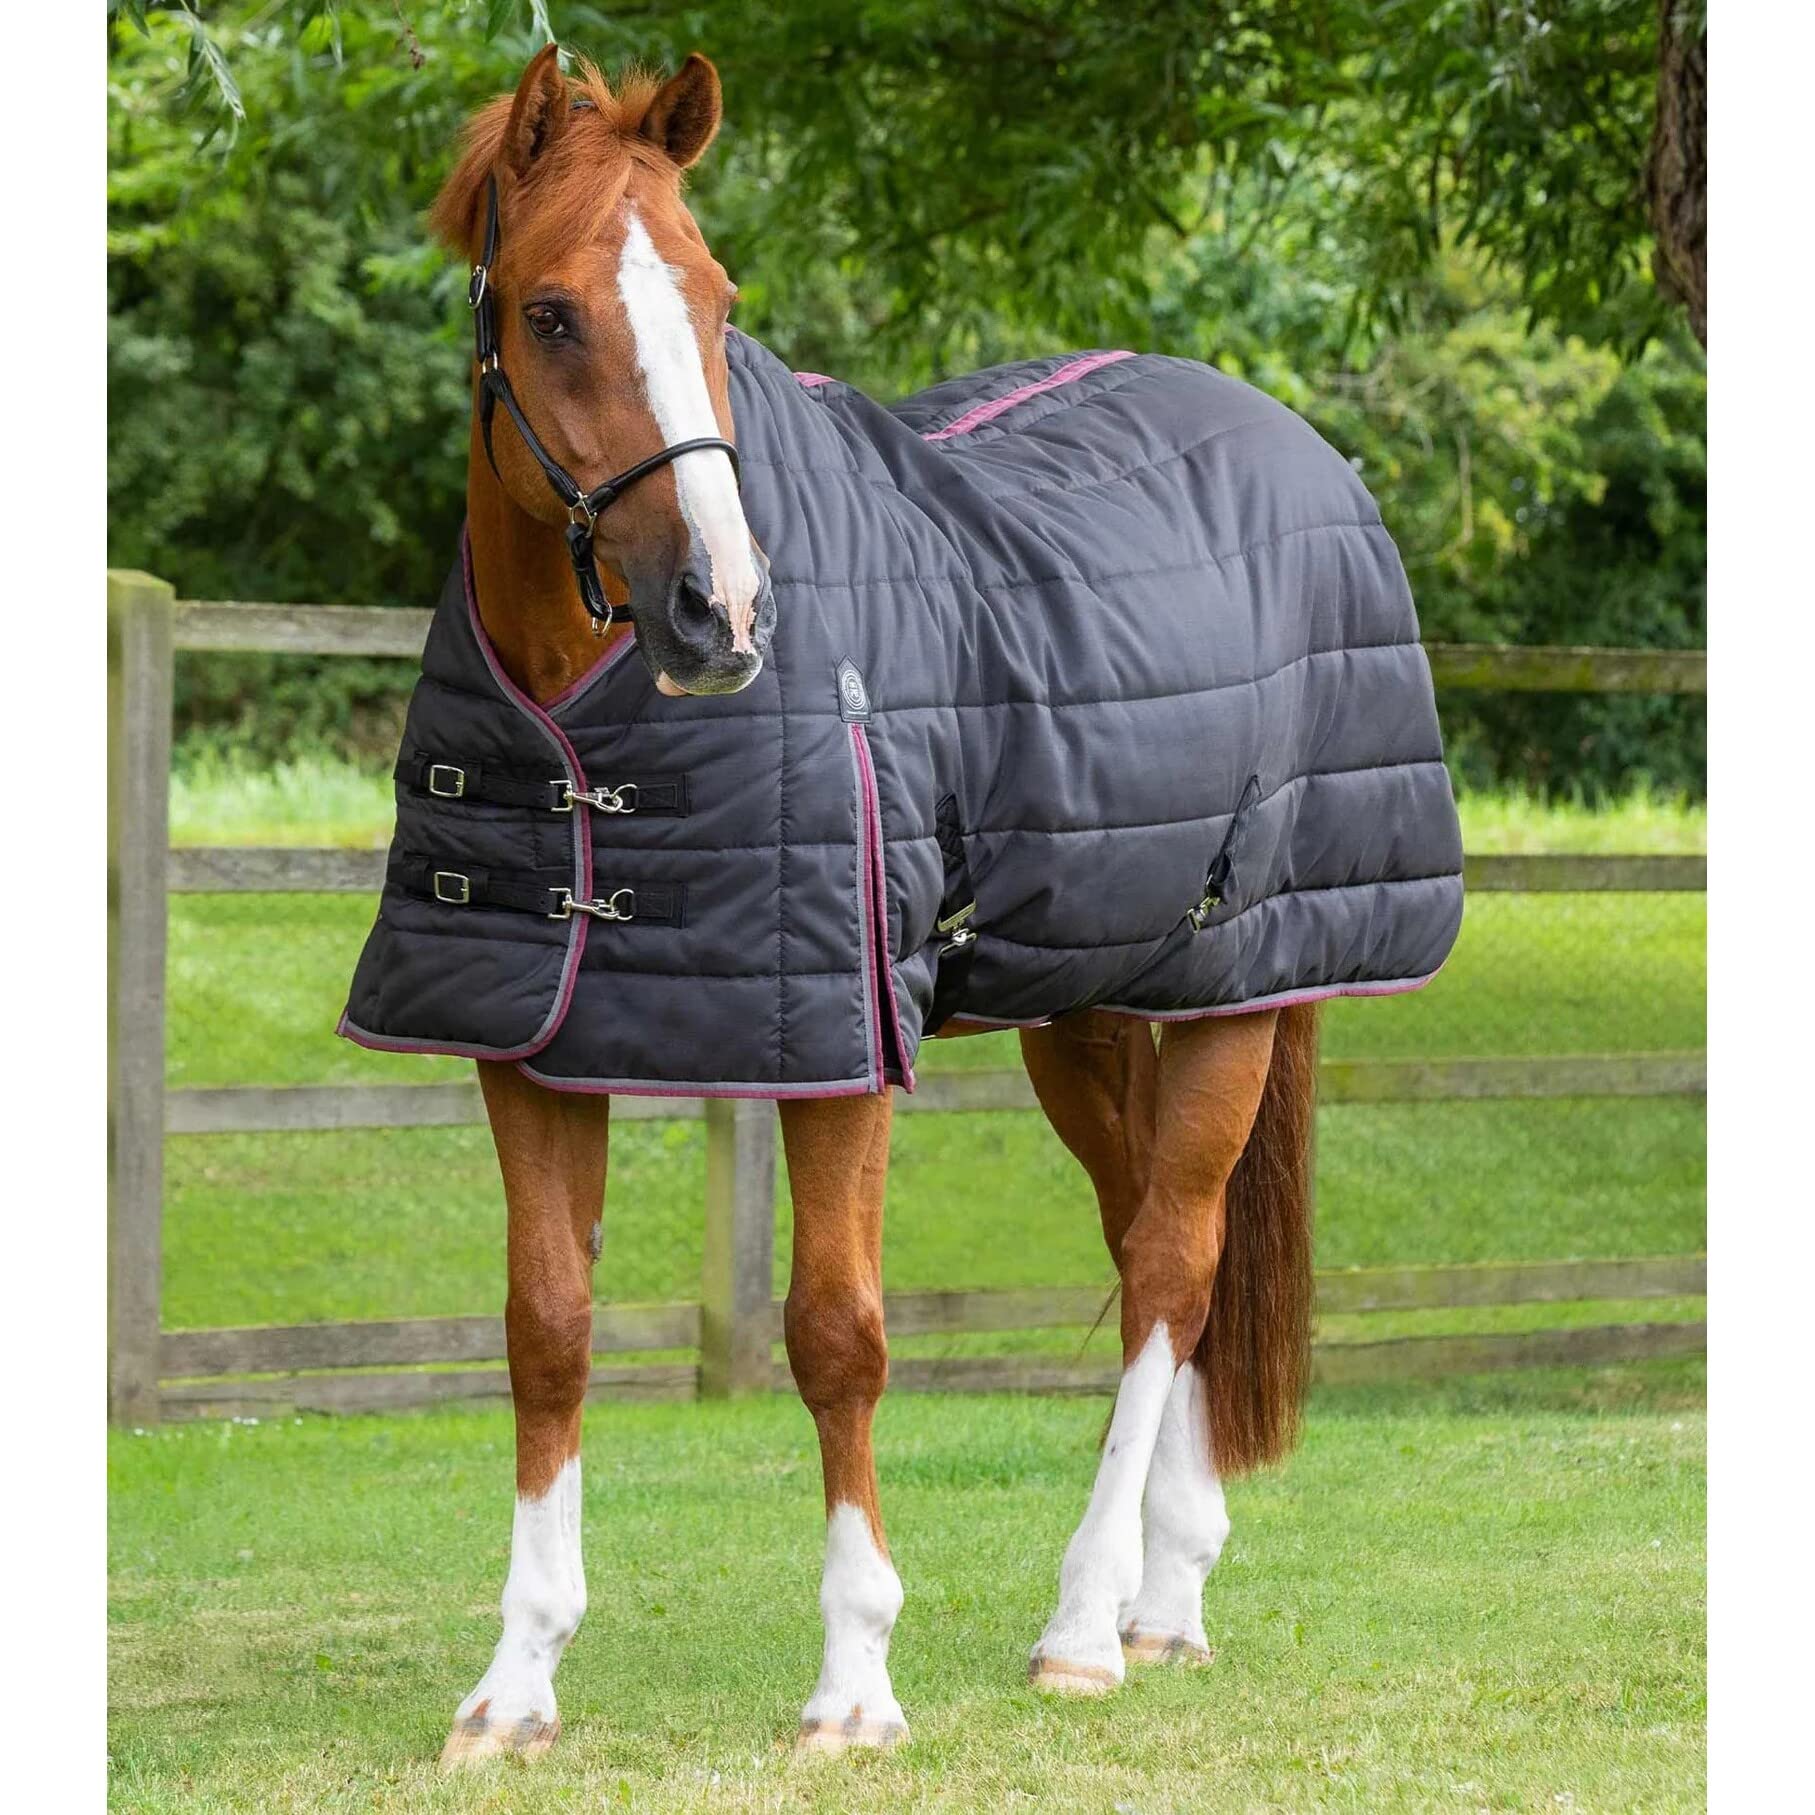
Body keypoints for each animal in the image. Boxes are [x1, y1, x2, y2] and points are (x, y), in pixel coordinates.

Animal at [395, 46, 1395, 1766]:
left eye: (717, 298)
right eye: (549, 311)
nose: (719, 610)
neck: (585, 724)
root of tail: (1296, 450)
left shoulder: (841, 1037)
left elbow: (835, 1331)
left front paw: (855, 1680)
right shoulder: (528, 1043)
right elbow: (547, 1326)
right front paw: (514, 1683)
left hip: (1242, 990)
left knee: (1169, 1261)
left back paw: (1084, 1625)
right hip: (1085, 1001)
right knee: (1151, 1236)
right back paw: (1166, 1589)